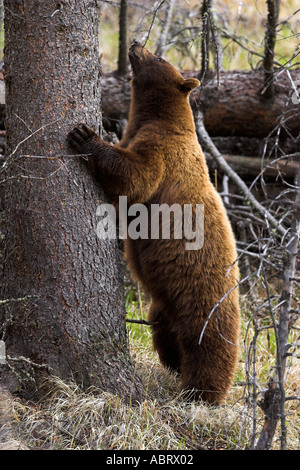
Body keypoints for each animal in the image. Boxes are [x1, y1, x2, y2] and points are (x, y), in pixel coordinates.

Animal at [67, 42, 240, 406]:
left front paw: (84, 135)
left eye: (159, 57)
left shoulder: (162, 151)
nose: (135, 44)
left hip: (203, 297)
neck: (155, 117)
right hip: (161, 309)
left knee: (208, 347)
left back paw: (201, 395)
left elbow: (135, 176)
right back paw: (174, 368)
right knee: (167, 338)